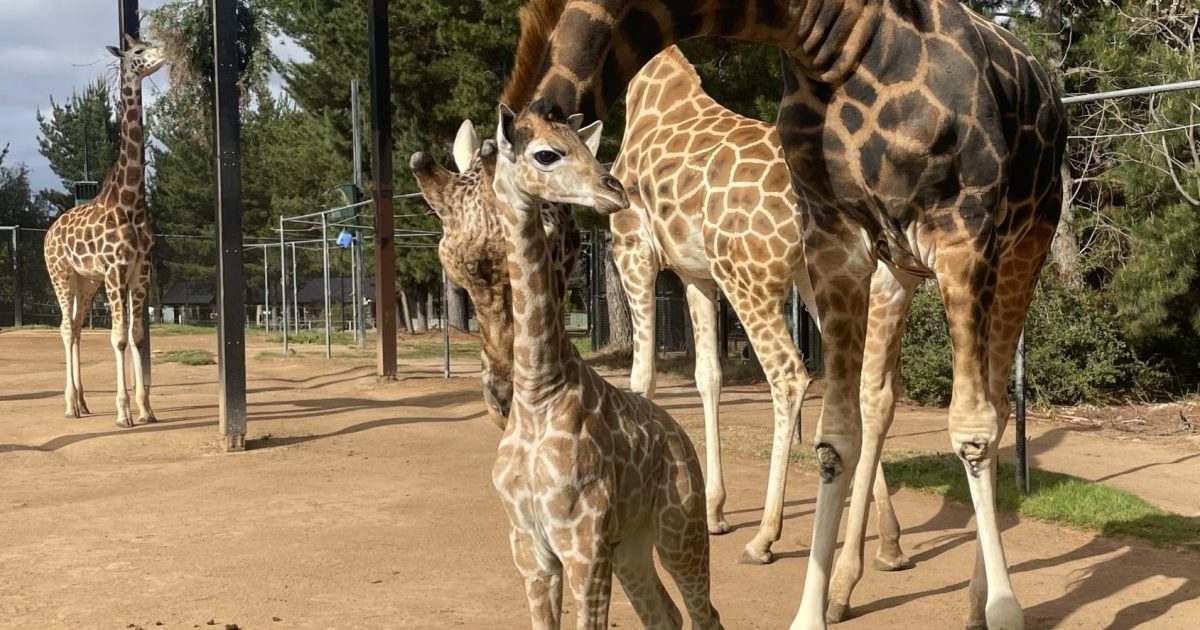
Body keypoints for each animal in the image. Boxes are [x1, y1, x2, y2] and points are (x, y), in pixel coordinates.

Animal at [489, 99, 720, 628]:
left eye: (587, 146)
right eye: (547, 154)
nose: (614, 190)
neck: (538, 389)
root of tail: (679, 434)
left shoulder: (584, 544)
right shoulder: (528, 548)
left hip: (680, 527)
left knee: (704, 614)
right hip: (632, 544)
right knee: (666, 615)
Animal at [614, 44, 912, 578]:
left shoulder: (635, 248)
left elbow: (642, 378)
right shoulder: (696, 274)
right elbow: (707, 375)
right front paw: (713, 512)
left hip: (750, 279)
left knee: (790, 375)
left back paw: (765, 538)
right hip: (819, 279)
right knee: (861, 386)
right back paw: (890, 543)